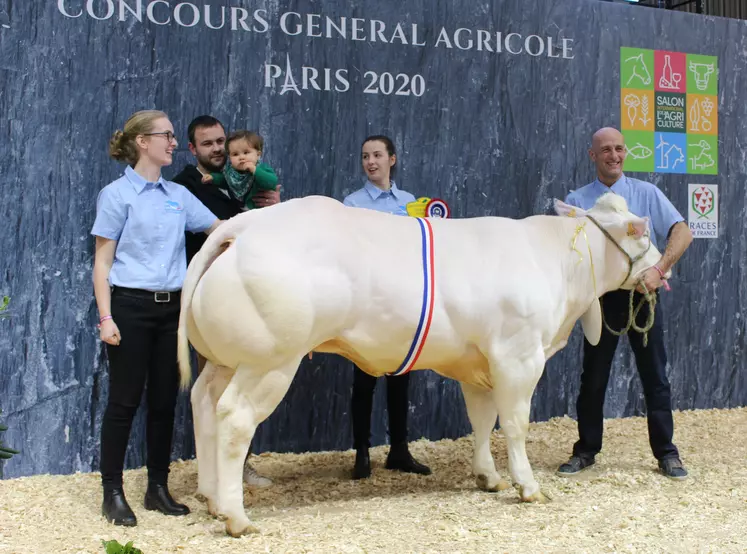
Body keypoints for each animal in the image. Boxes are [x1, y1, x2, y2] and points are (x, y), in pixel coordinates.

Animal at [177, 191, 668, 536]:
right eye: (643, 234)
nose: (662, 268)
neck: (558, 264)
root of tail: (245, 224)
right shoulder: (518, 357)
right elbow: (514, 424)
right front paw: (527, 486)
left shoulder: (479, 365)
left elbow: (481, 420)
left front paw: (488, 477)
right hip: (271, 361)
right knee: (234, 417)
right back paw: (237, 517)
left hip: (224, 360)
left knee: (203, 404)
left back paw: (211, 498)